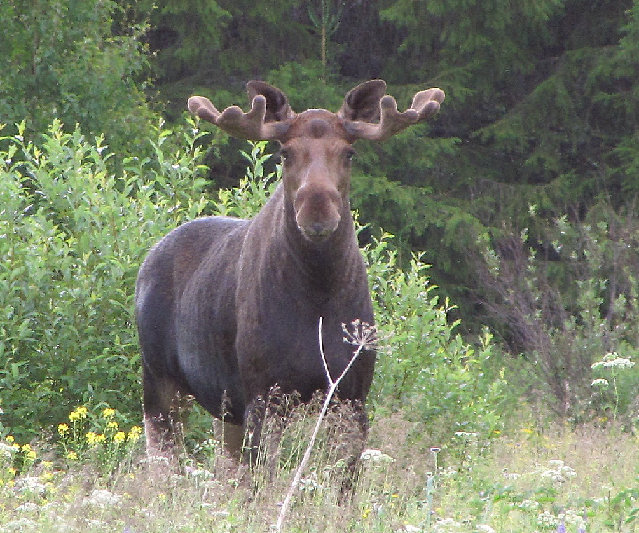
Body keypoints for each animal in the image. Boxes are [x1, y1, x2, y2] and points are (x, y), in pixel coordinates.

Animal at [135, 78, 444, 462]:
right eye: (284, 153)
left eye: (349, 153)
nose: (317, 210)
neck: (318, 292)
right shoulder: (264, 395)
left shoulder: (352, 395)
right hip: (159, 381)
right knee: (163, 461)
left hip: (224, 409)